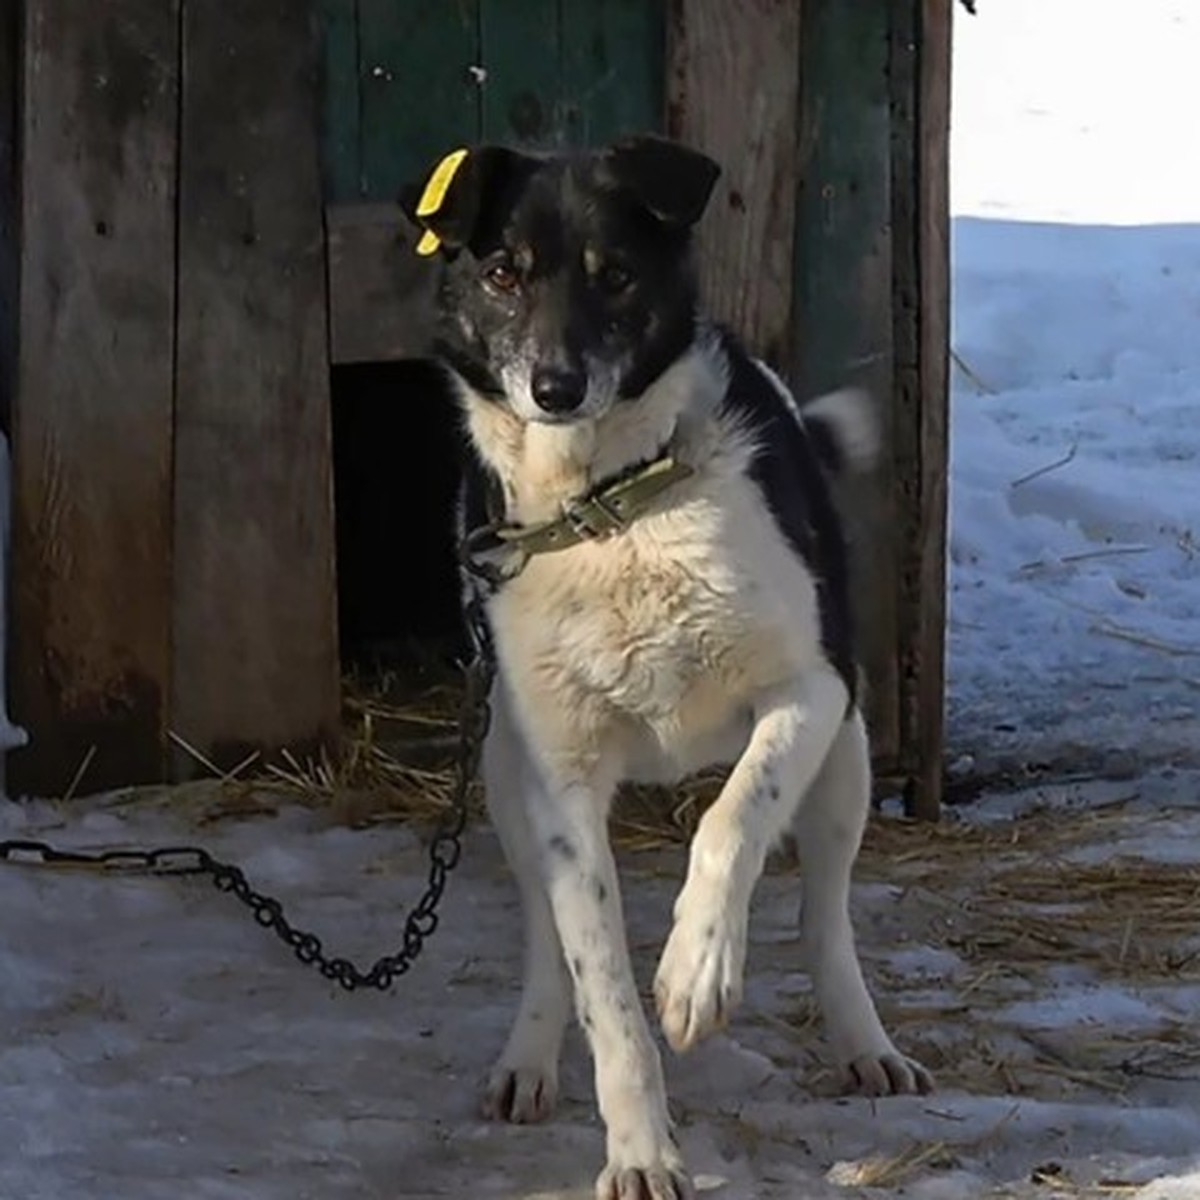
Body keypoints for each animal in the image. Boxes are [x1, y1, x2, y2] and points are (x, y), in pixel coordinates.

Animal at [403, 136, 926, 1200]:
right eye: (503, 273)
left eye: (615, 275)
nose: (556, 387)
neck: (611, 506)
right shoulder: (560, 783)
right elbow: (601, 986)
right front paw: (641, 1151)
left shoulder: (810, 691)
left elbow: (731, 823)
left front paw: (696, 972)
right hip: (503, 773)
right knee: (546, 938)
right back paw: (528, 1056)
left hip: (848, 761)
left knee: (825, 915)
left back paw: (863, 1043)